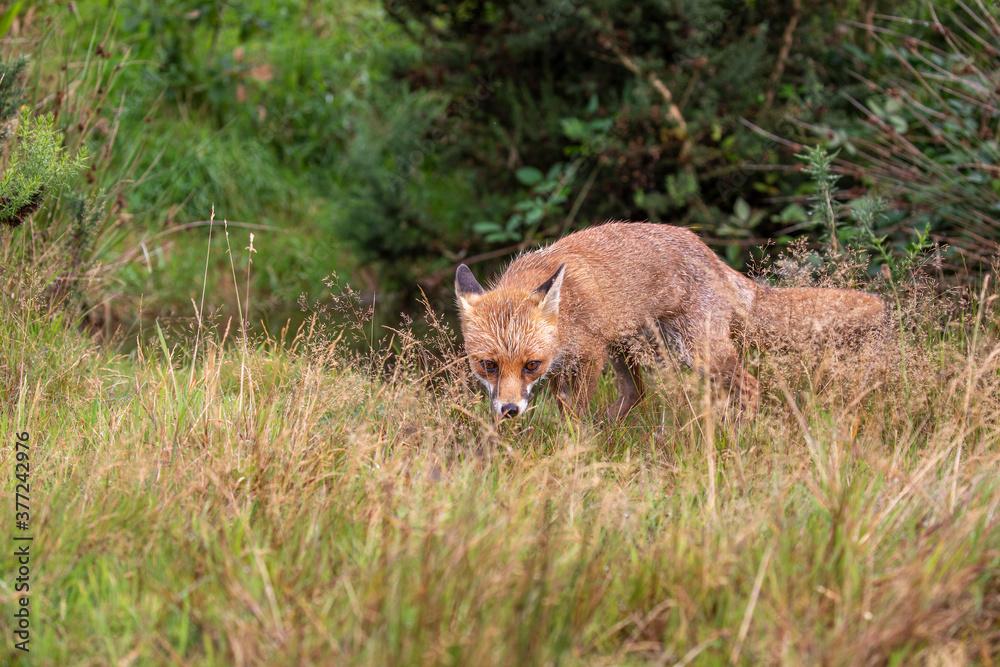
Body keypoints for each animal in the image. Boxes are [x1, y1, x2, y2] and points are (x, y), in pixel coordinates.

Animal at [454, 224, 884, 422]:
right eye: (488, 365)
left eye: (531, 365)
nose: (509, 411)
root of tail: (708, 253)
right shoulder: (572, 363)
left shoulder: (589, 354)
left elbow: (571, 412)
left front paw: (573, 448)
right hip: (627, 346)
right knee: (638, 393)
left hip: (696, 351)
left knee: (751, 386)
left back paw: (741, 433)